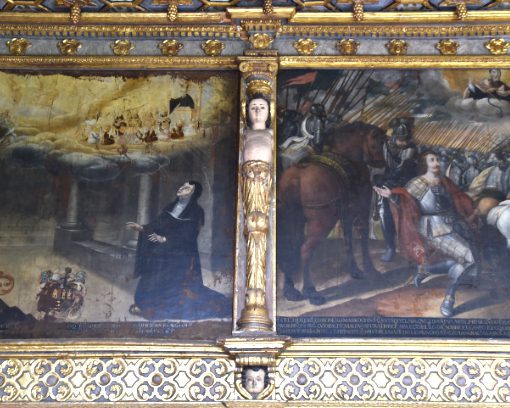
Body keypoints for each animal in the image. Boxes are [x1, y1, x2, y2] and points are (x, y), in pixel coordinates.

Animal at [276, 122, 384, 306]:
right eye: (375, 142)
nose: (381, 163)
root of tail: (297, 176)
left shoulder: (346, 215)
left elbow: (348, 241)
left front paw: (355, 271)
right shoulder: (361, 212)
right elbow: (362, 241)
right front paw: (370, 271)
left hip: (292, 221)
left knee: (290, 249)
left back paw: (291, 292)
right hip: (321, 223)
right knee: (305, 250)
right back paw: (311, 292)